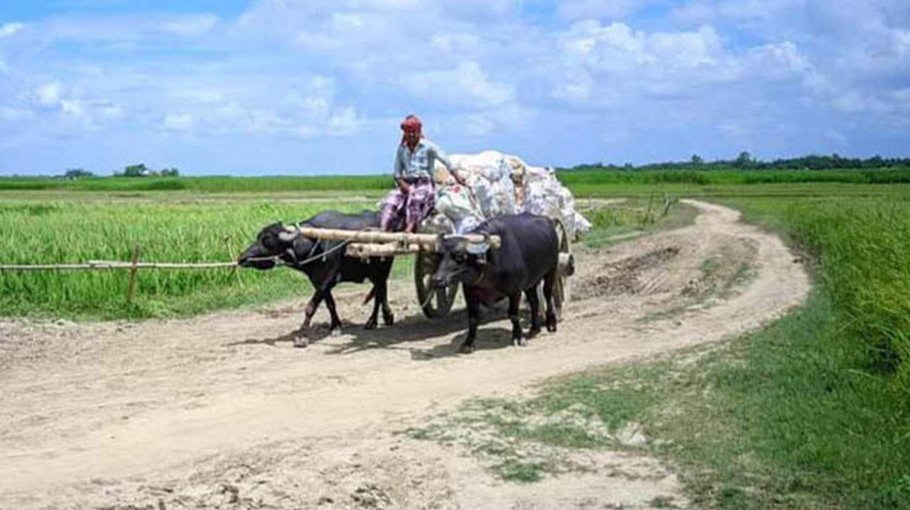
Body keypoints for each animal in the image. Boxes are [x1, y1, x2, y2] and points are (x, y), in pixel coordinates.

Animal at [238, 210, 394, 346]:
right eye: (258, 237)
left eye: (268, 242)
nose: (242, 258)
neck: (316, 244)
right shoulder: (317, 281)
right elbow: (330, 304)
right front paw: (335, 326)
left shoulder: (328, 279)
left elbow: (311, 307)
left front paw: (302, 337)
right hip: (375, 273)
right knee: (381, 291)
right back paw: (386, 317)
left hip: (382, 269)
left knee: (379, 293)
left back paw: (373, 321)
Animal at [432, 213, 561, 353]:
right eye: (439, 256)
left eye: (460, 256)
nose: (437, 280)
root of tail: (548, 221)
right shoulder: (469, 293)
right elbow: (473, 319)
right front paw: (468, 343)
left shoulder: (515, 291)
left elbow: (513, 314)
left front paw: (518, 337)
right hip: (531, 281)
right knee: (534, 302)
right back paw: (534, 329)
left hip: (551, 270)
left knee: (547, 294)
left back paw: (551, 323)